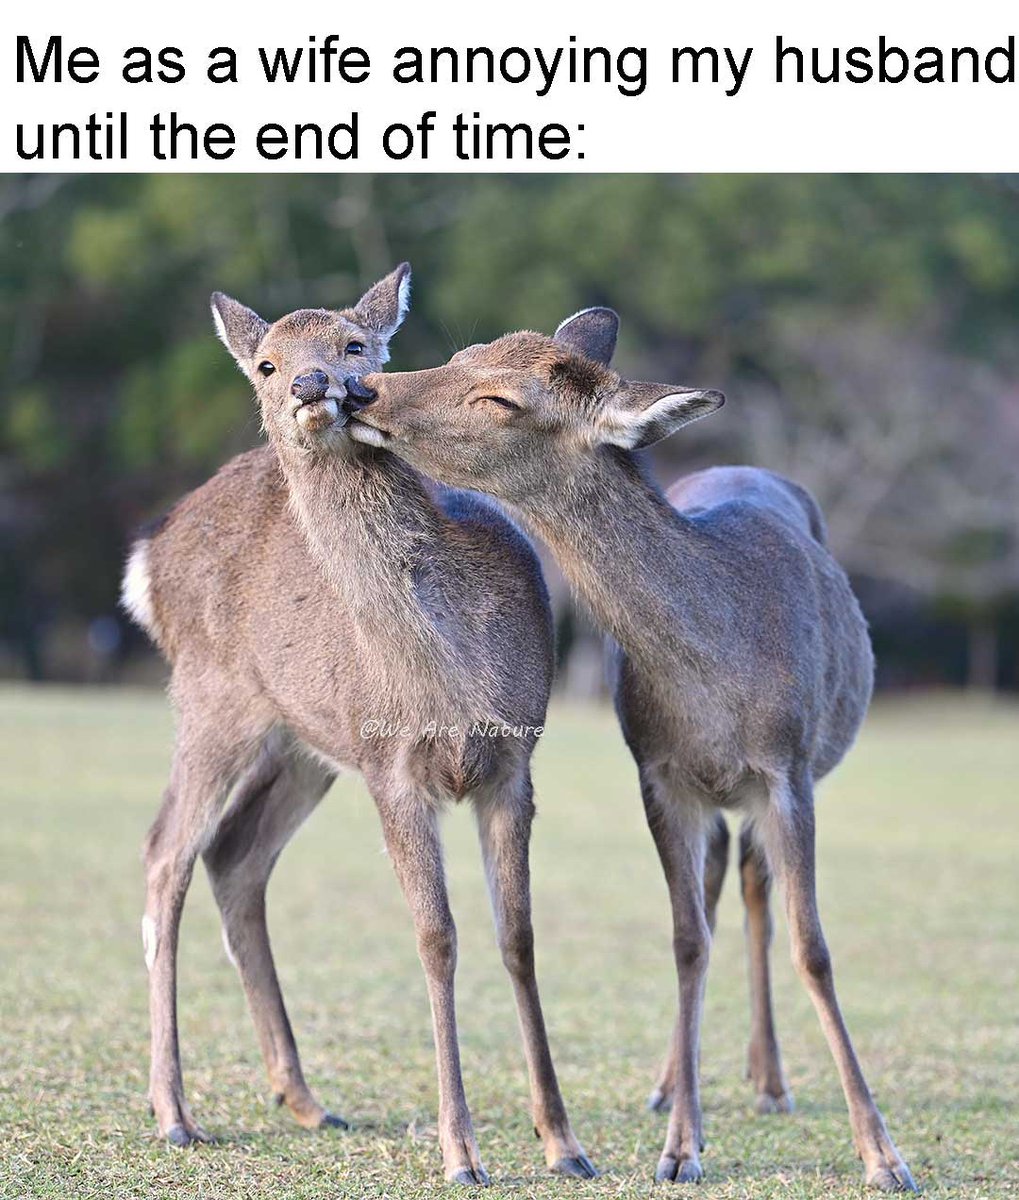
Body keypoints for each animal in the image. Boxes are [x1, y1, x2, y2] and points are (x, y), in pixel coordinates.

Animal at [119, 265, 596, 1185]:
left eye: (355, 344)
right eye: (265, 364)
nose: (314, 386)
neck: (446, 672)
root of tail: (147, 560)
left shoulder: (513, 761)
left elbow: (517, 935)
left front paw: (563, 1143)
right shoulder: (392, 769)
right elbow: (436, 936)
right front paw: (460, 1153)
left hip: (304, 743)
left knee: (235, 854)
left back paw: (303, 1098)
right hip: (212, 699)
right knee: (166, 852)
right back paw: (173, 1114)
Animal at [339, 307, 918, 1192]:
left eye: (500, 398)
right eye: (465, 352)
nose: (362, 389)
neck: (719, 677)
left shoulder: (787, 771)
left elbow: (813, 948)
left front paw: (883, 1156)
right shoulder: (659, 774)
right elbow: (684, 940)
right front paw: (679, 1147)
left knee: (753, 889)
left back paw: (770, 1081)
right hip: (708, 797)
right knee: (716, 890)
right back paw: (673, 1085)